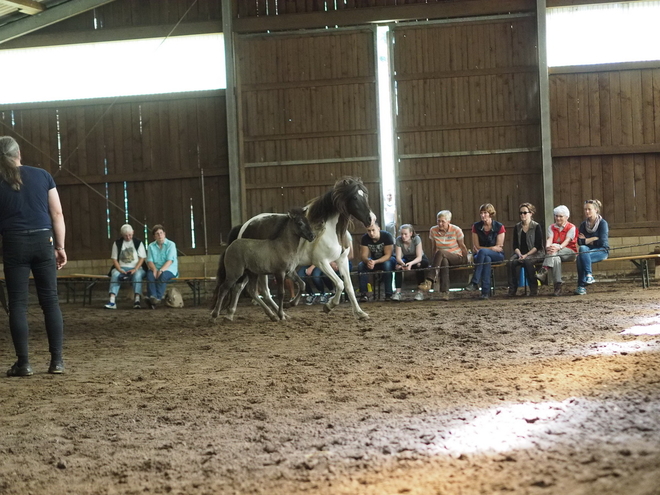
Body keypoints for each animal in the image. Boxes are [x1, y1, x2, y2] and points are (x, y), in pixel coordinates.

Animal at [213, 178, 376, 322]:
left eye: (366, 195)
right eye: (354, 197)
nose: (371, 219)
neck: (330, 229)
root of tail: (245, 225)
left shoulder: (342, 261)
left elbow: (348, 286)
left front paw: (360, 313)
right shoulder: (322, 262)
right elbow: (340, 284)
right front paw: (328, 306)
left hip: (256, 270)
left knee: (252, 290)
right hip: (253, 269)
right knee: (243, 288)